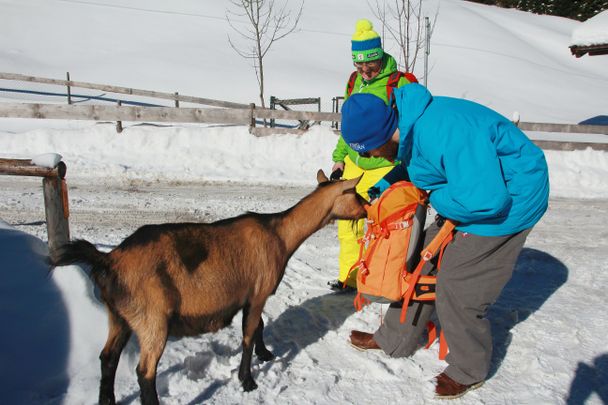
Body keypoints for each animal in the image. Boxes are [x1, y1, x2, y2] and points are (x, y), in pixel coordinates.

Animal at [51, 170, 366, 404]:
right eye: (356, 193)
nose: (369, 206)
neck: (279, 234)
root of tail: (110, 259)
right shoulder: (259, 292)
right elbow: (248, 334)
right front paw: (247, 380)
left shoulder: (251, 294)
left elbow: (260, 326)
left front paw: (265, 354)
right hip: (152, 318)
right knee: (145, 371)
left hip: (119, 315)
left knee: (108, 357)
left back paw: (107, 400)